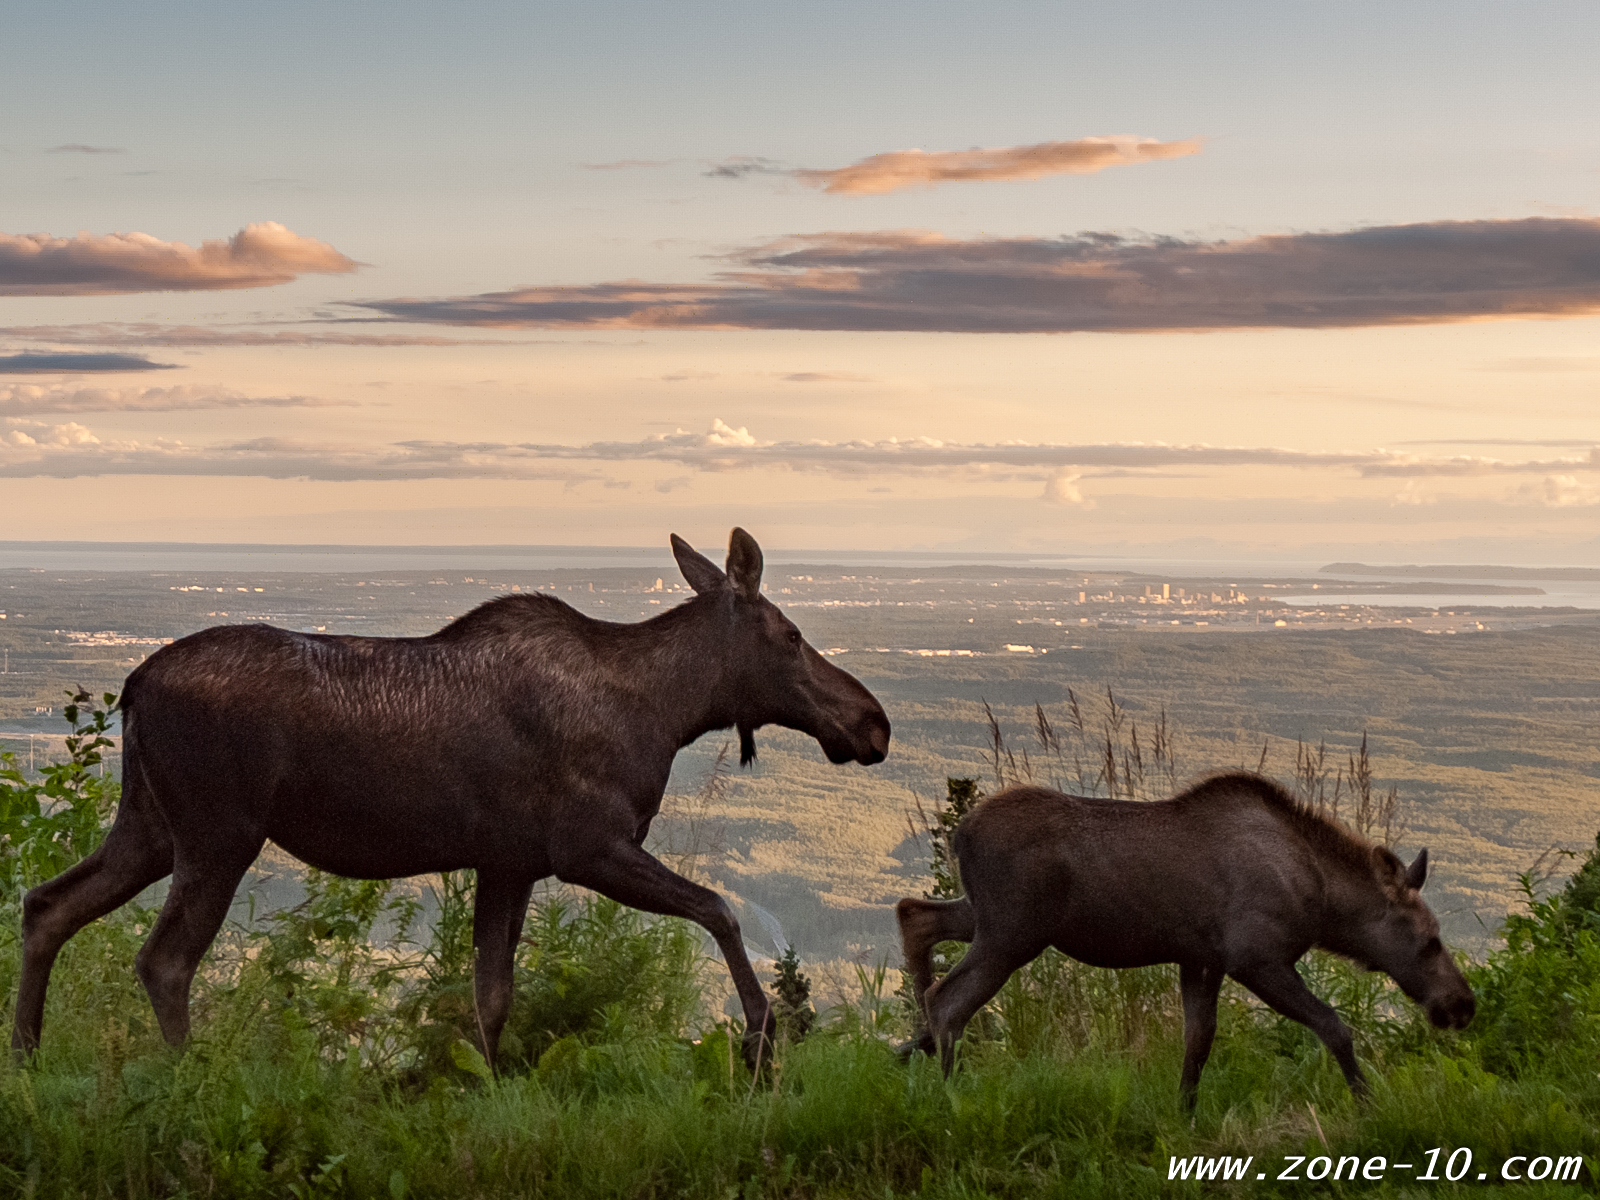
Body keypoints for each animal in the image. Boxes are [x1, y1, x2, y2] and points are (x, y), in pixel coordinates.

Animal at [12, 528, 889, 1068]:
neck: (668, 711)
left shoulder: (510, 863)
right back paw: (189, 1078)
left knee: (47, 904)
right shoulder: (589, 847)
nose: (873, 722)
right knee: (163, 960)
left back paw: (24, 1058)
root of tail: (132, 684)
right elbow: (721, 910)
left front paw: (485, 1086)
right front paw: (762, 1037)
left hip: (150, 825)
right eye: (791, 636)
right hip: (219, 833)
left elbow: (490, 998)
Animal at [896, 780, 1465, 1107]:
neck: (1322, 901)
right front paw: (1367, 1103)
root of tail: (961, 834)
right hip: (1013, 932)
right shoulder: (1254, 957)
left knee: (914, 915)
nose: (1463, 1003)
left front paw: (1184, 1114)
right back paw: (950, 1094)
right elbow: (1334, 1026)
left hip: (991, 919)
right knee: (948, 998)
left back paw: (911, 1048)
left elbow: (1198, 1043)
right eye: (1431, 941)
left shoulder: (1200, 959)